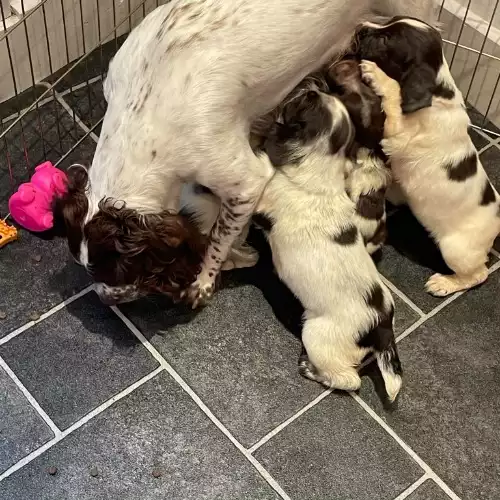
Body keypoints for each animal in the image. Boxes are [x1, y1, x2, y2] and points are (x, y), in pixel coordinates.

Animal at [356, 15, 500, 296]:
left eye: (385, 40)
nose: (360, 26)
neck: (437, 92)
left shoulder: (397, 135)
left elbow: (393, 94)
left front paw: (377, 75)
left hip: (456, 250)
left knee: (478, 274)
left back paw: (444, 283)